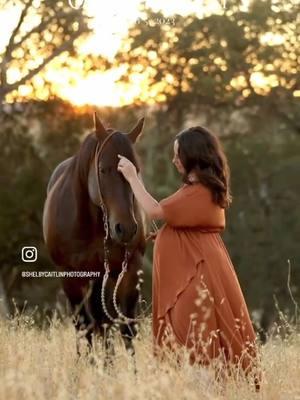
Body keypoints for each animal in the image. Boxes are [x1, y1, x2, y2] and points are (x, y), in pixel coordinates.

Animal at [42, 112, 148, 366]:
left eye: (135, 170)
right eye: (102, 170)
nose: (125, 228)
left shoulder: (129, 270)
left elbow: (126, 327)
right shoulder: (71, 276)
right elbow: (85, 325)